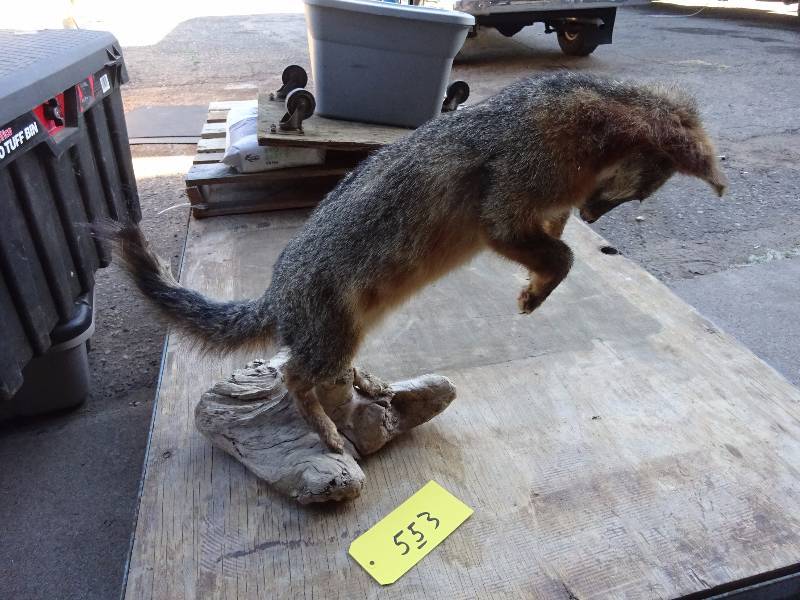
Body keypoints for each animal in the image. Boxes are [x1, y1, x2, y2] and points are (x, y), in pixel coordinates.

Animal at [111, 72, 725, 452]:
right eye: (639, 192)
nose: (596, 214)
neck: (582, 128)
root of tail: (278, 288)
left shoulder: (544, 213)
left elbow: (557, 245)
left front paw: (538, 282)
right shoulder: (506, 211)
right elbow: (566, 255)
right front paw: (535, 290)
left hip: (351, 332)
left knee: (320, 369)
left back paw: (368, 383)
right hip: (333, 336)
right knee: (291, 374)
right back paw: (325, 430)